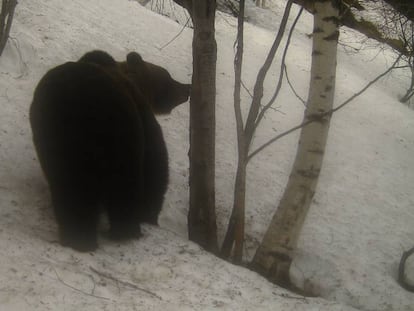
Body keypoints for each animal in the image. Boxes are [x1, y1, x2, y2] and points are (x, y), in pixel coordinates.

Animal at [29, 50, 190, 252]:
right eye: (168, 77)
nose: (188, 88)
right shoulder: (143, 118)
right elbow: (157, 166)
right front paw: (149, 215)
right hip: (113, 137)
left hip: (64, 141)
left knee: (75, 188)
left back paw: (84, 237)